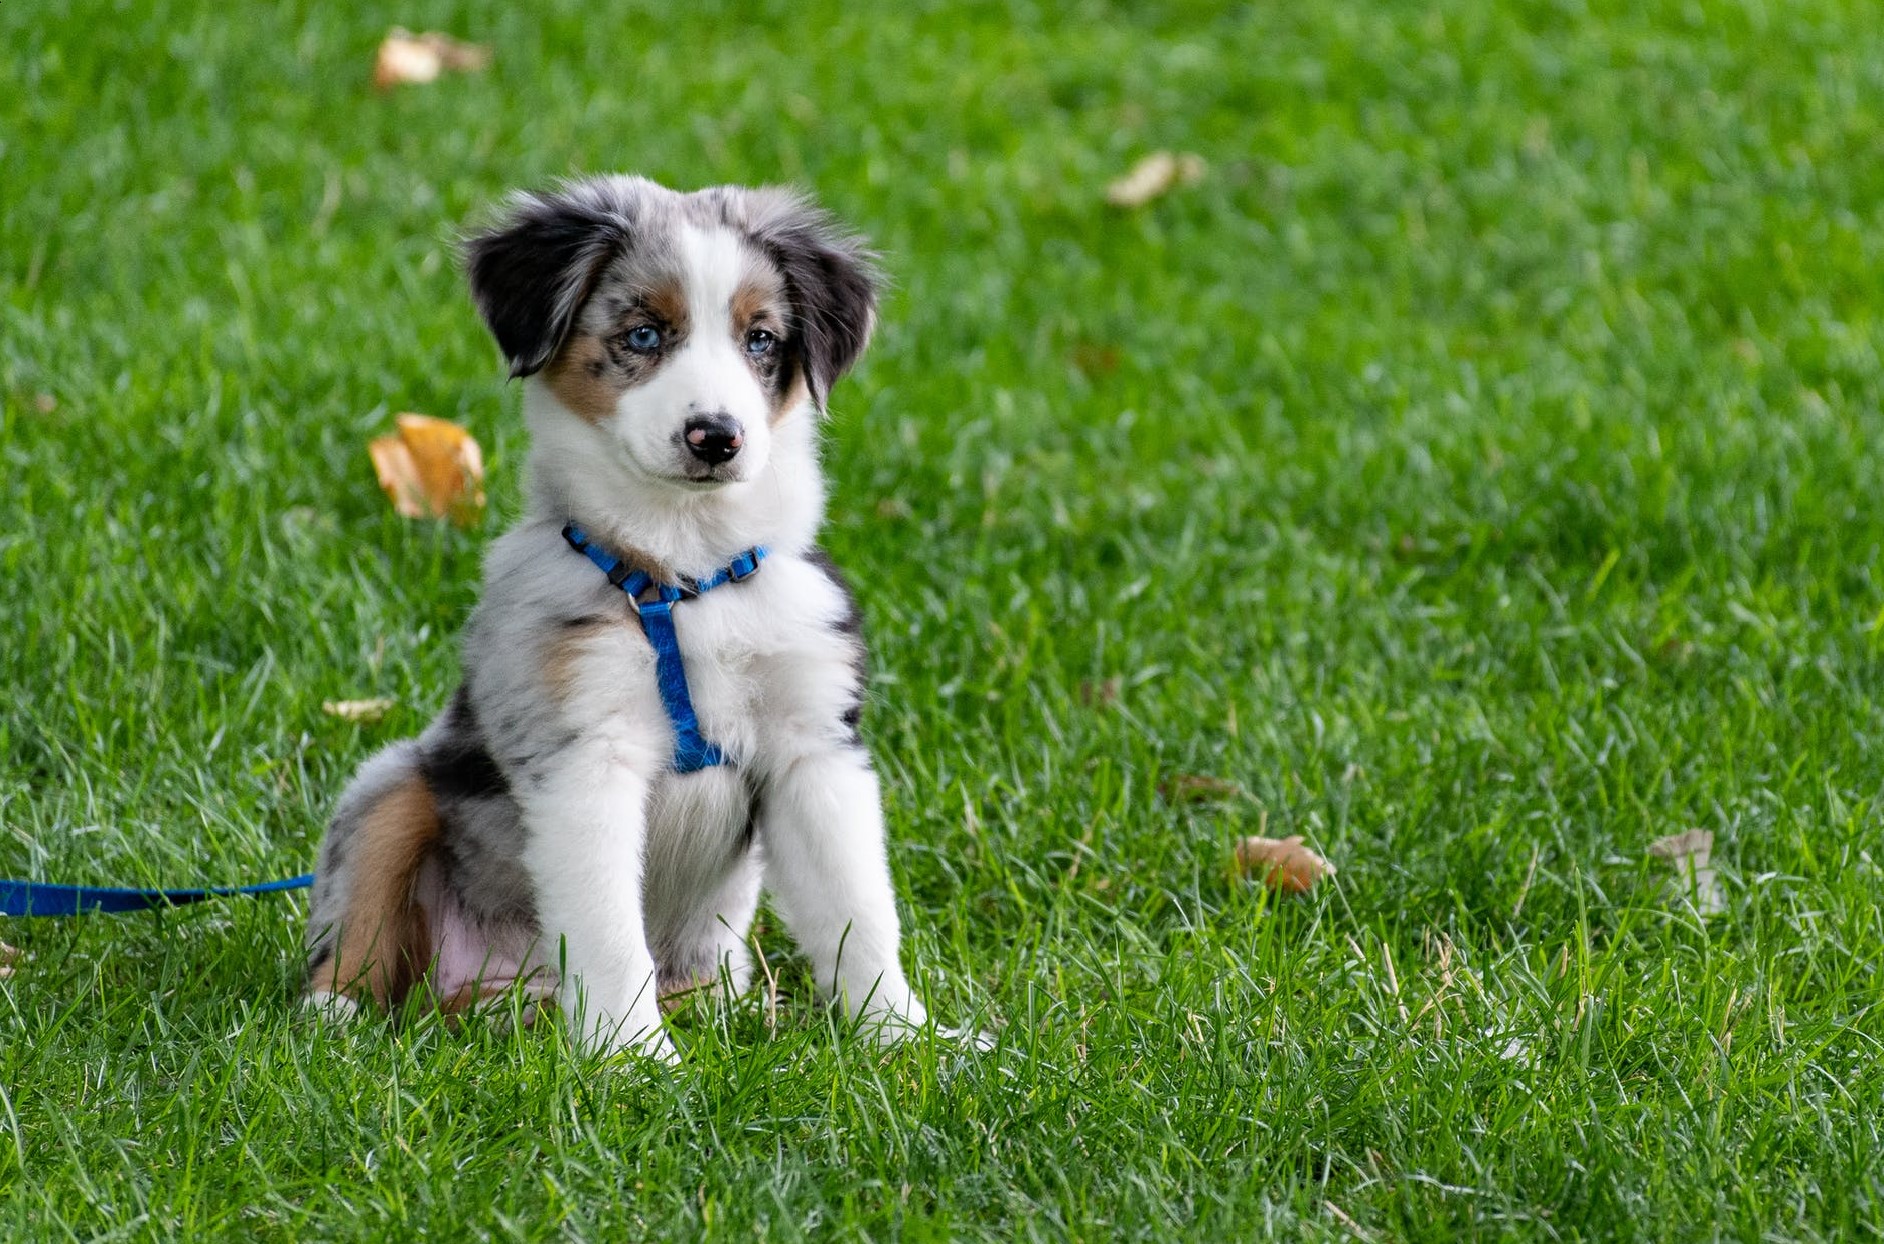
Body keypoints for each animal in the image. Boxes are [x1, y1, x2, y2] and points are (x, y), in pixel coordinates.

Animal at [305, 175, 972, 1063]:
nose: (715, 437)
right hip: (391, 786)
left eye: (762, 339)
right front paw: (634, 1060)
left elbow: (858, 914)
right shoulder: (585, 756)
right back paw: (335, 1016)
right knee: (360, 928)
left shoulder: (815, 748)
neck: (686, 576)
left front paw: (906, 1039)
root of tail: (496, 995)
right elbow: (608, 929)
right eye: (644, 334)